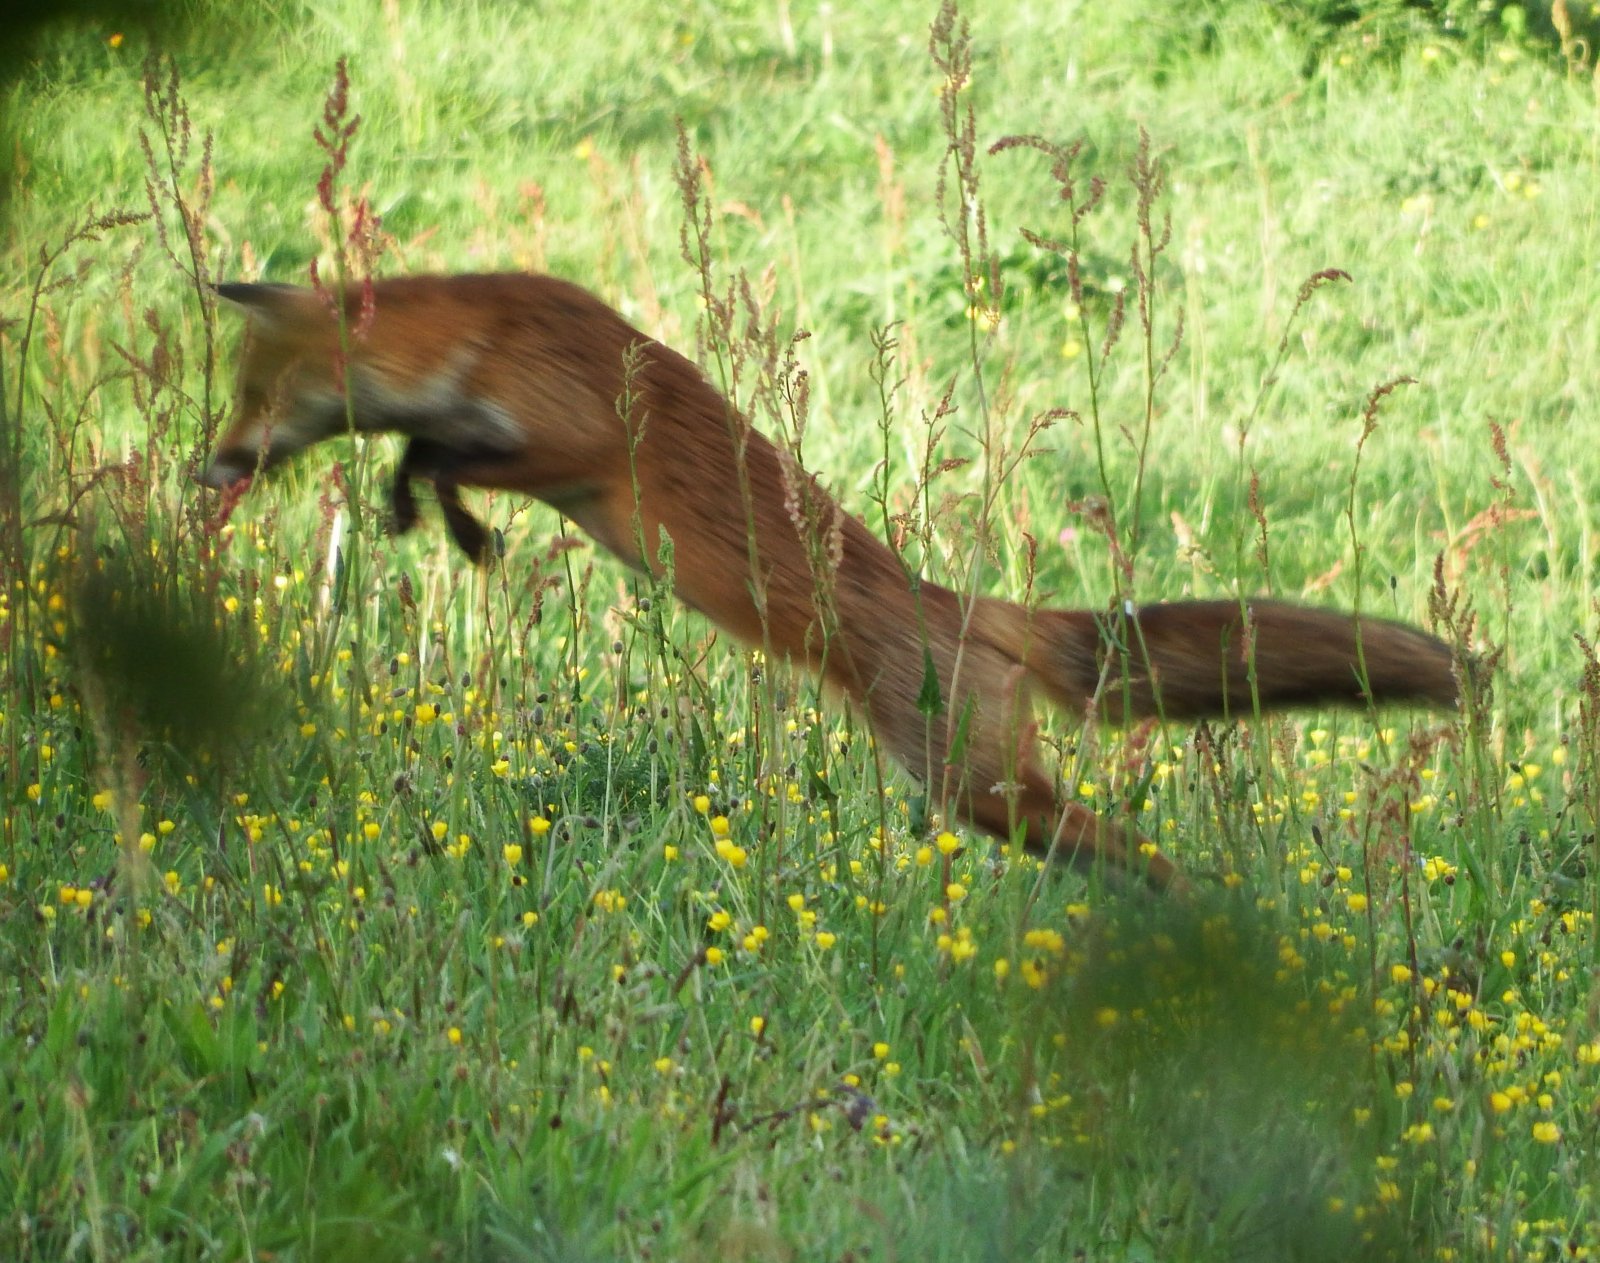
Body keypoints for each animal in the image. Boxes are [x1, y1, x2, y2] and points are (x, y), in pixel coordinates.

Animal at [200, 273, 1459, 890]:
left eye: (262, 394)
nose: (209, 463)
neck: (484, 335)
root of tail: (970, 610)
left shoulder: (578, 447)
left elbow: (441, 454)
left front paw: (451, 524)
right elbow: (428, 455)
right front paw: (422, 517)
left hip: (972, 784)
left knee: (1128, 849)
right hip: (984, 793)